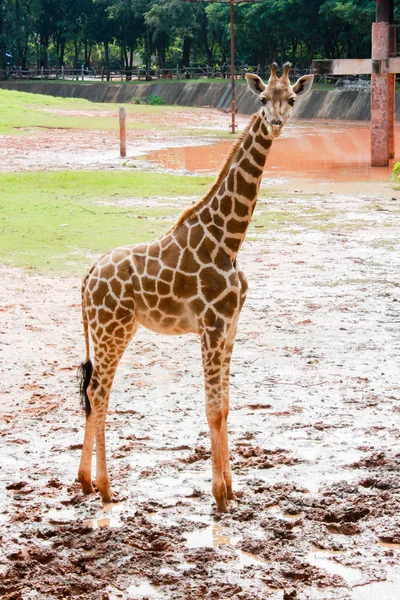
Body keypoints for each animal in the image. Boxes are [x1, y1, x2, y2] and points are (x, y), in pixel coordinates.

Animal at [78, 63, 314, 510]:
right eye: (262, 99)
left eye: (291, 98)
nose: (275, 124)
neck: (229, 240)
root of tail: (88, 277)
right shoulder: (212, 325)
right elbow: (212, 407)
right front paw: (219, 496)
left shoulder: (231, 326)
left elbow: (227, 404)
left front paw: (232, 490)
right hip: (110, 330)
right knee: (98, 392)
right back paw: (105, 487)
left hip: (116, 330)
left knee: (97, 392)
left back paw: (86, 483)